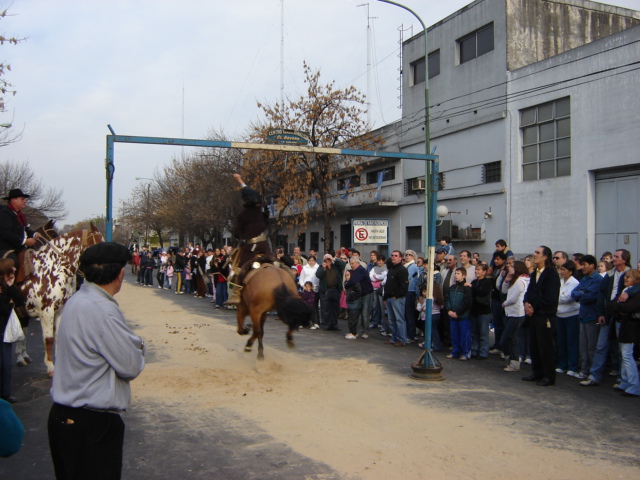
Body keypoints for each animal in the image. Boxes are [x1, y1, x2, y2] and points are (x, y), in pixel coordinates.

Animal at [18, 223, 102, 376]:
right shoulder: (46, 311)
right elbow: (49, 338)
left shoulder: (60, 309)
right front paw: (50, 366)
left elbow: (57, 335)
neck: (53, 268)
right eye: (99, 244)